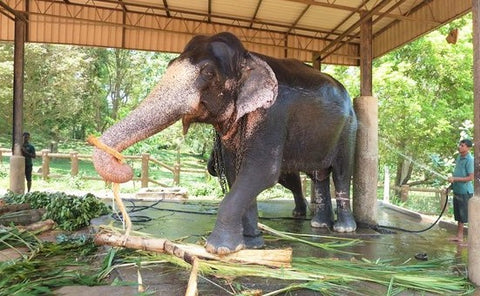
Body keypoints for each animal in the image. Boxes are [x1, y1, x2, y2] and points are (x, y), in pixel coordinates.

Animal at [93, 31, 356, 254]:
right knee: (320, 175)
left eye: (208, 73)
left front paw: (219, 249)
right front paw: (251, 244)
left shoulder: (272, 114)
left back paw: (343, 229)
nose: (123, 164)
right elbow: (234, 172)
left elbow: (261, 171)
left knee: (341, 173)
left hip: (350, 129)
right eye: (169, 66)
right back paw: (319, 225)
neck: (249, 57)